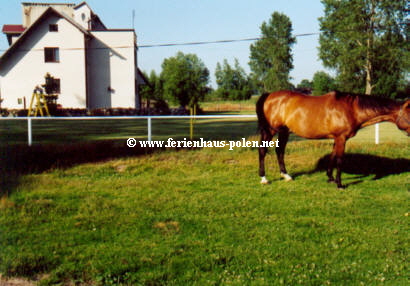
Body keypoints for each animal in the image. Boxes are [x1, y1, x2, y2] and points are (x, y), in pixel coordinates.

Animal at [256, 90, 410, 189]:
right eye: (409, 115)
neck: (352, 109)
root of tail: (269, 96)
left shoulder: (337, 138)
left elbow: (332, 156)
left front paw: (330, 178)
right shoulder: (342, 138)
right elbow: (340, 159)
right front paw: (339, 184)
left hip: (284, 131)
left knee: (280, 151)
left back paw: (286, 176)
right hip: (270, 130)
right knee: (263, 150)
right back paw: (264, 179)